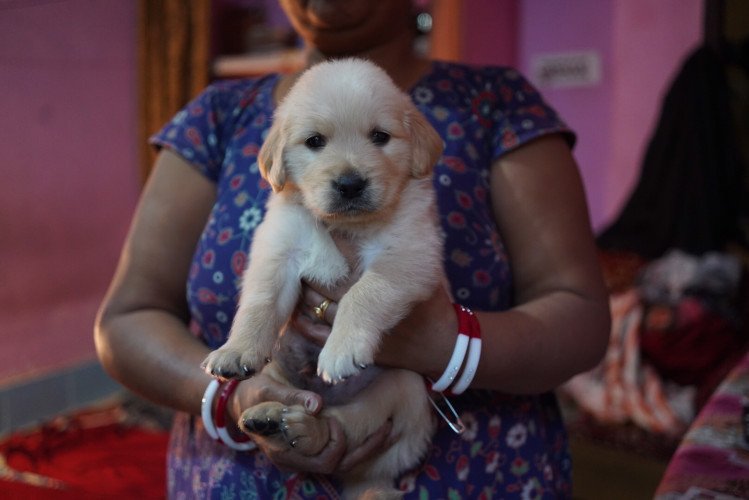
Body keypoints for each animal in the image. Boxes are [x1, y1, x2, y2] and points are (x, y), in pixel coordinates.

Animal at [202, 57, 444, 496]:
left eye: (380, 137)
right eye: (315, 141)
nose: (350, 184)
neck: (346, 226)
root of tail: (371, 480)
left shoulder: (412, 253)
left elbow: (366, 291)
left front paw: (342, 347)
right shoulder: (278, 248)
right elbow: (261, 302)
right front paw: (236, 349)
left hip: (403, 390)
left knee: (340, 425)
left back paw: (302, 429)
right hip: (279, 368)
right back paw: (268, 416)